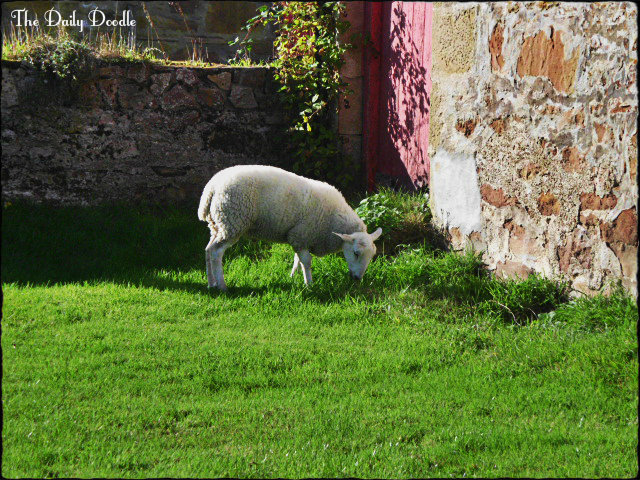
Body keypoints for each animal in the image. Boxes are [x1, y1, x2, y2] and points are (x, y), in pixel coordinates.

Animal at [198, 165, 382, 291]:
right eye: (356, 253)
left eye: (373, 256)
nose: (358, 279)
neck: (333, 219)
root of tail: (211, 188)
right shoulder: (302, 234)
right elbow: (306, 261)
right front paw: (309, 284)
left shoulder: (298, 236)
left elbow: (296, 259)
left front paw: (293, 276)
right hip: (232, 222)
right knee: (216, 252)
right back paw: (222, 285)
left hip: (217, 224)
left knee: (208, 250)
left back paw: (211, 283)